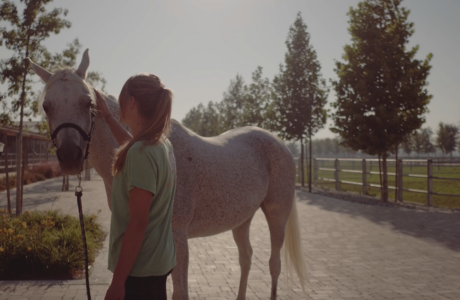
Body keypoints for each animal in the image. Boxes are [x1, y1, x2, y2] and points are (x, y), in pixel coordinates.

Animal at [30, 50, 308, 298]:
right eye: (47, 106)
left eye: (88, 103)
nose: (70, 156)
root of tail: (280, 143)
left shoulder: (178, 239)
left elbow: (180, 292)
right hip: (242, 218)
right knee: (246, 257)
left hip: (277, 214)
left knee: (273, 265)